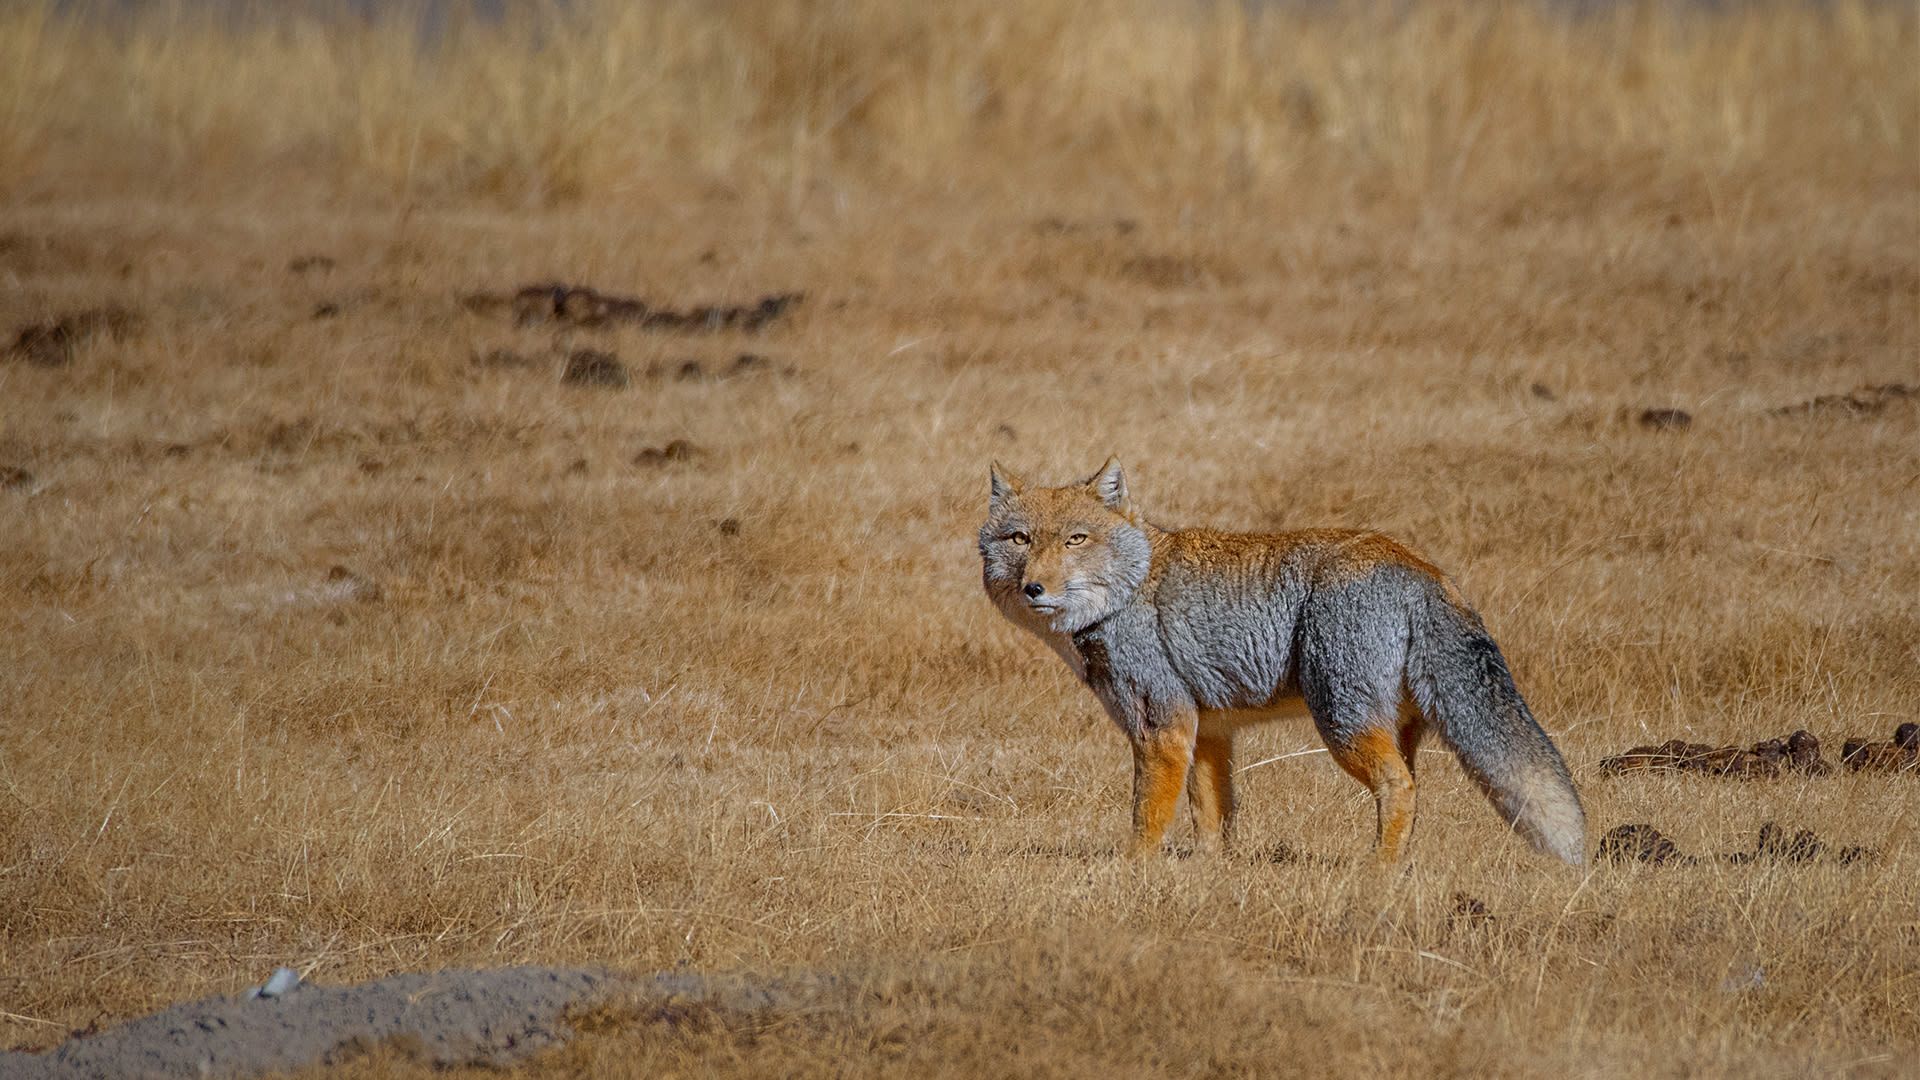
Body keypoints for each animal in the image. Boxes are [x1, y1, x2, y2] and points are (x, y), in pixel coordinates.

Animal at [978, 458, 1586, 865]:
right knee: (1413, 787)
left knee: (1400, 787)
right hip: (1389, 725)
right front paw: (1205, 875)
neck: (1129, 590)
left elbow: (1146, 817)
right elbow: (1210, 817)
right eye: (1020, 539)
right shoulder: (1207, 731)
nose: (1034, 588)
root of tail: (1419, 564)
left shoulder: (1162, 726)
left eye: (1076, 540)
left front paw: (1133, 873)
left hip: (1341, 721)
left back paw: (1377, 873)